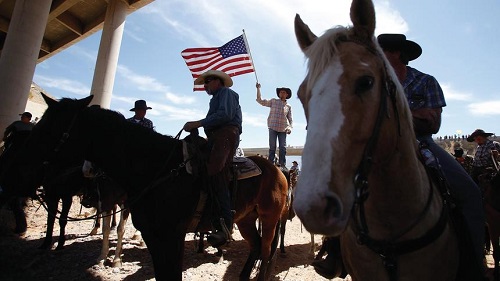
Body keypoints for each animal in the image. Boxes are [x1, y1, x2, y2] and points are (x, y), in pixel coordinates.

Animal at [2, 94, 290, 280]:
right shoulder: (153, 236)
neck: (157, 169)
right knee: (255, 248)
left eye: (51, 128)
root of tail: (279, 170)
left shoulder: (172, 236)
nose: (12, 173)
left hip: (269, 218)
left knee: (266, 251)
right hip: (245, 218)